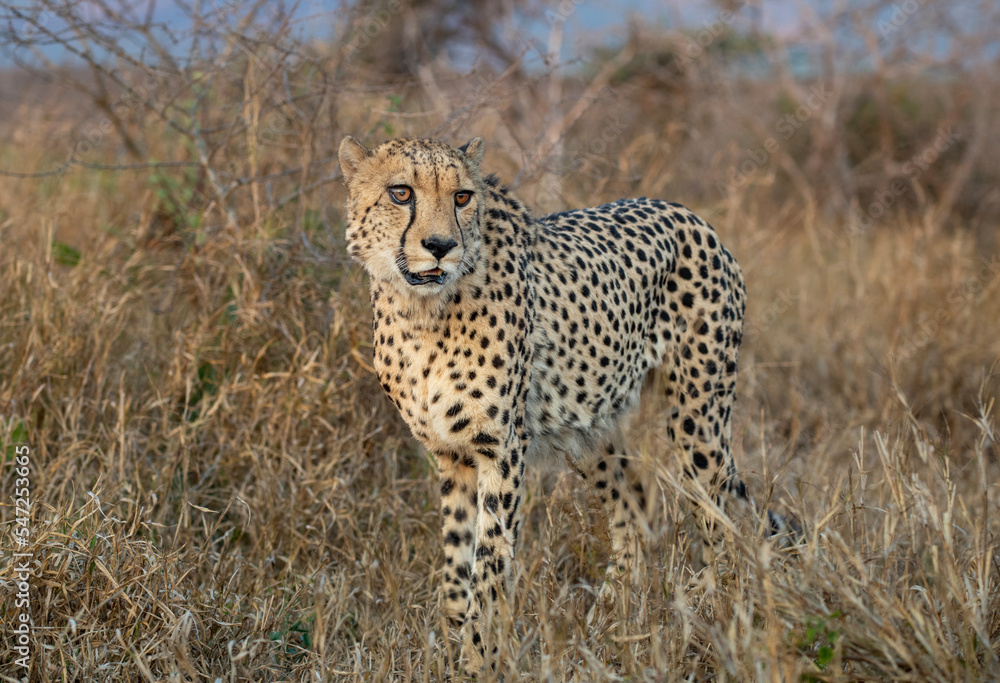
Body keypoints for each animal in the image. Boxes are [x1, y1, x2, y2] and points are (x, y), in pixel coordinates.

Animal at [336, 134, 796, 672]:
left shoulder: (502, 450)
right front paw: (452, 650)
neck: (421, 311)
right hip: (590, 426)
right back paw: (610, 620)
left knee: (716, 514)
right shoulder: (451, 454)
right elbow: (456, 561)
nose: (441, 247)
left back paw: (708, 614)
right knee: (635, 506)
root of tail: (691, 216)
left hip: (697, 416)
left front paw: (479, 659)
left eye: (462, 197)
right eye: (401, 193)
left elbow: (489, 565)